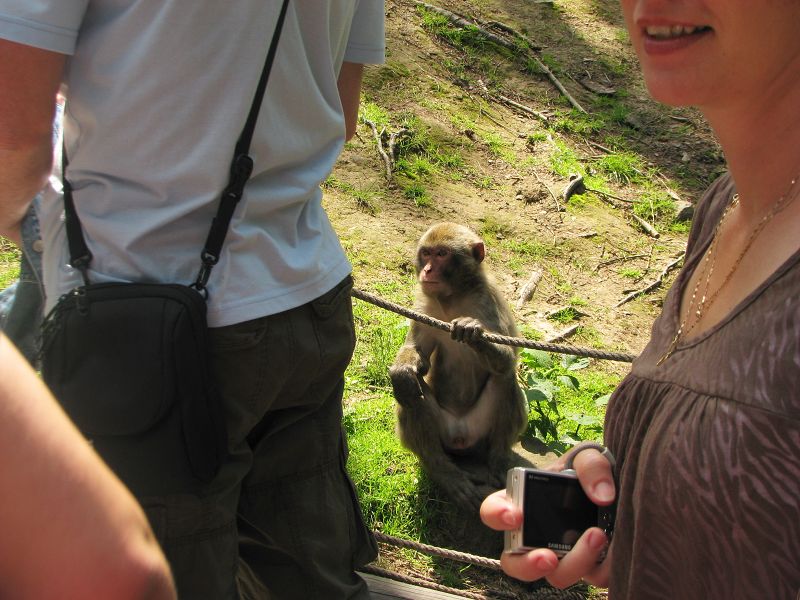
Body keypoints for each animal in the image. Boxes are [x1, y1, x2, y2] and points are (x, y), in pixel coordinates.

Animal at [389, 222, 528, 510]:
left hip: (480, 433)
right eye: (427, 253)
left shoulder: (488, 302)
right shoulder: (425, 306)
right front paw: (402, 371)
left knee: (504, 378)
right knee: (410, 393)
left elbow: (509, 359)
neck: (454, 297)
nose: (428, 270)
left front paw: (471, 330)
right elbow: (417, 356)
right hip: (444, 432)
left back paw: (498, 462)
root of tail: (461, 437)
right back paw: (442, 470)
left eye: (442, 254)